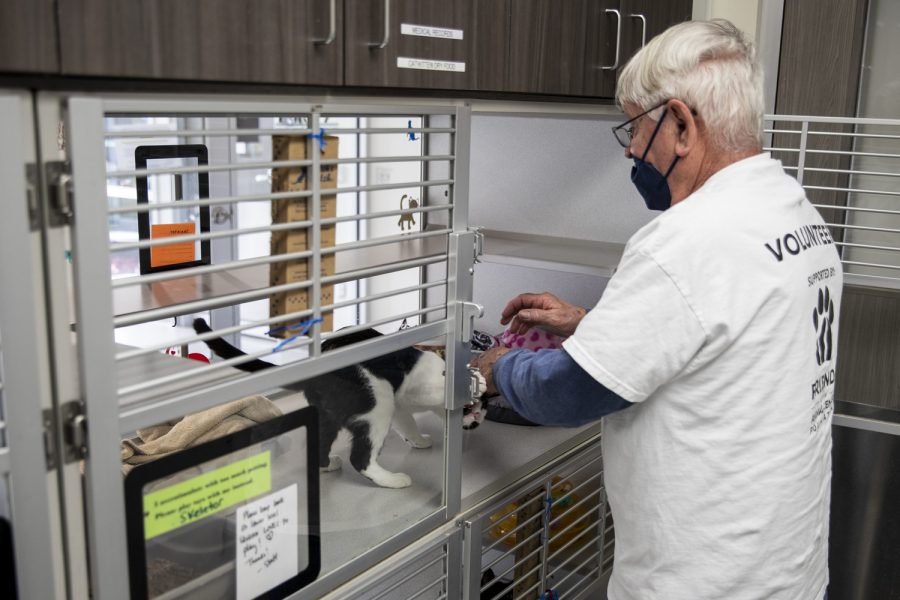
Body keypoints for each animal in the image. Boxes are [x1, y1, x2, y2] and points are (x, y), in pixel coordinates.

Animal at [192, 318, 486, 488]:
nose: (479, 420)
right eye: (476, 407)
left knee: (322, 441)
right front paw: (477, 382)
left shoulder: (401, 405)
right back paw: (393, 480)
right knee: (361, 458)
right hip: (378, 404)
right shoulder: (414, 389)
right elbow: (439, 390)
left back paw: (328, 464)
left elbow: (409, 425)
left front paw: (418, 440)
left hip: (330, 415)